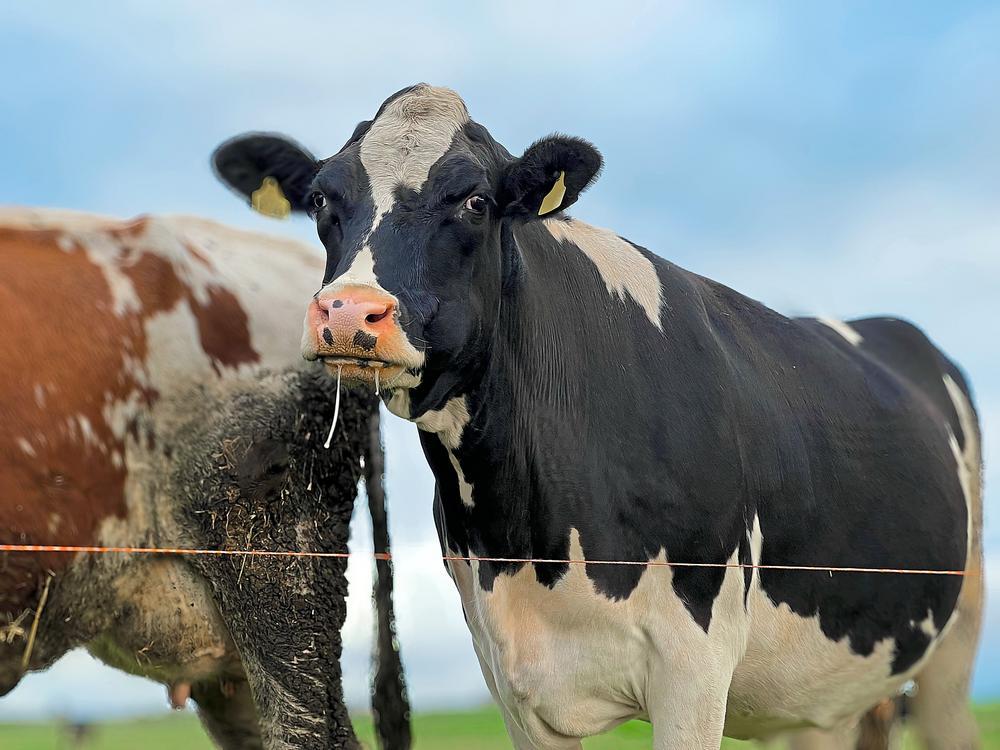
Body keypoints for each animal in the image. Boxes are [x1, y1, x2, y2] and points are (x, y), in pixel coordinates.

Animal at [213, 85, 984, 748]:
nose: (347, 313)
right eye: (322, 197)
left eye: (475, 200)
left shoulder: (694, 667)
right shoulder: (512, 675)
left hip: (955, 644)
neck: (529, 536)